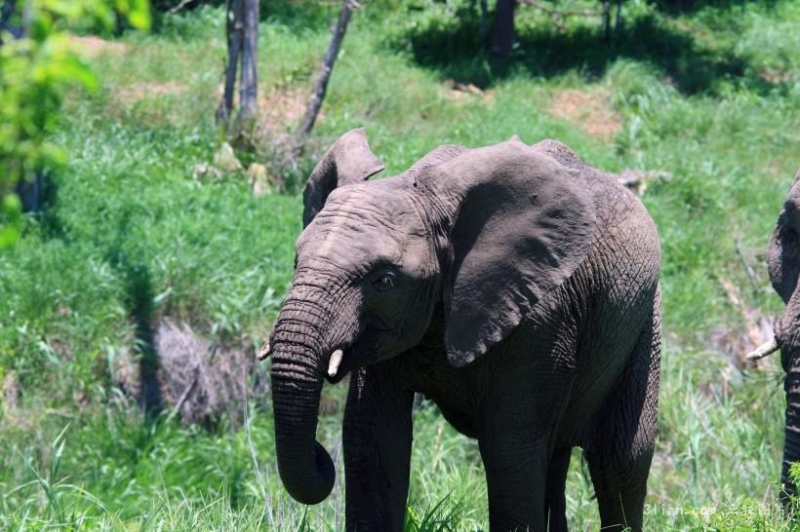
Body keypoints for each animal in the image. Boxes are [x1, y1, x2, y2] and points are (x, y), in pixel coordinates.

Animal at [264, 129, 664, 532]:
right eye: (297, 262)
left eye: (385, 281)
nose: (320, 456)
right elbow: (372, 437)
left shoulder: (539, 321)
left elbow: (510, 452)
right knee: (556, 458)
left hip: (645, 320)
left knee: (619, 462)